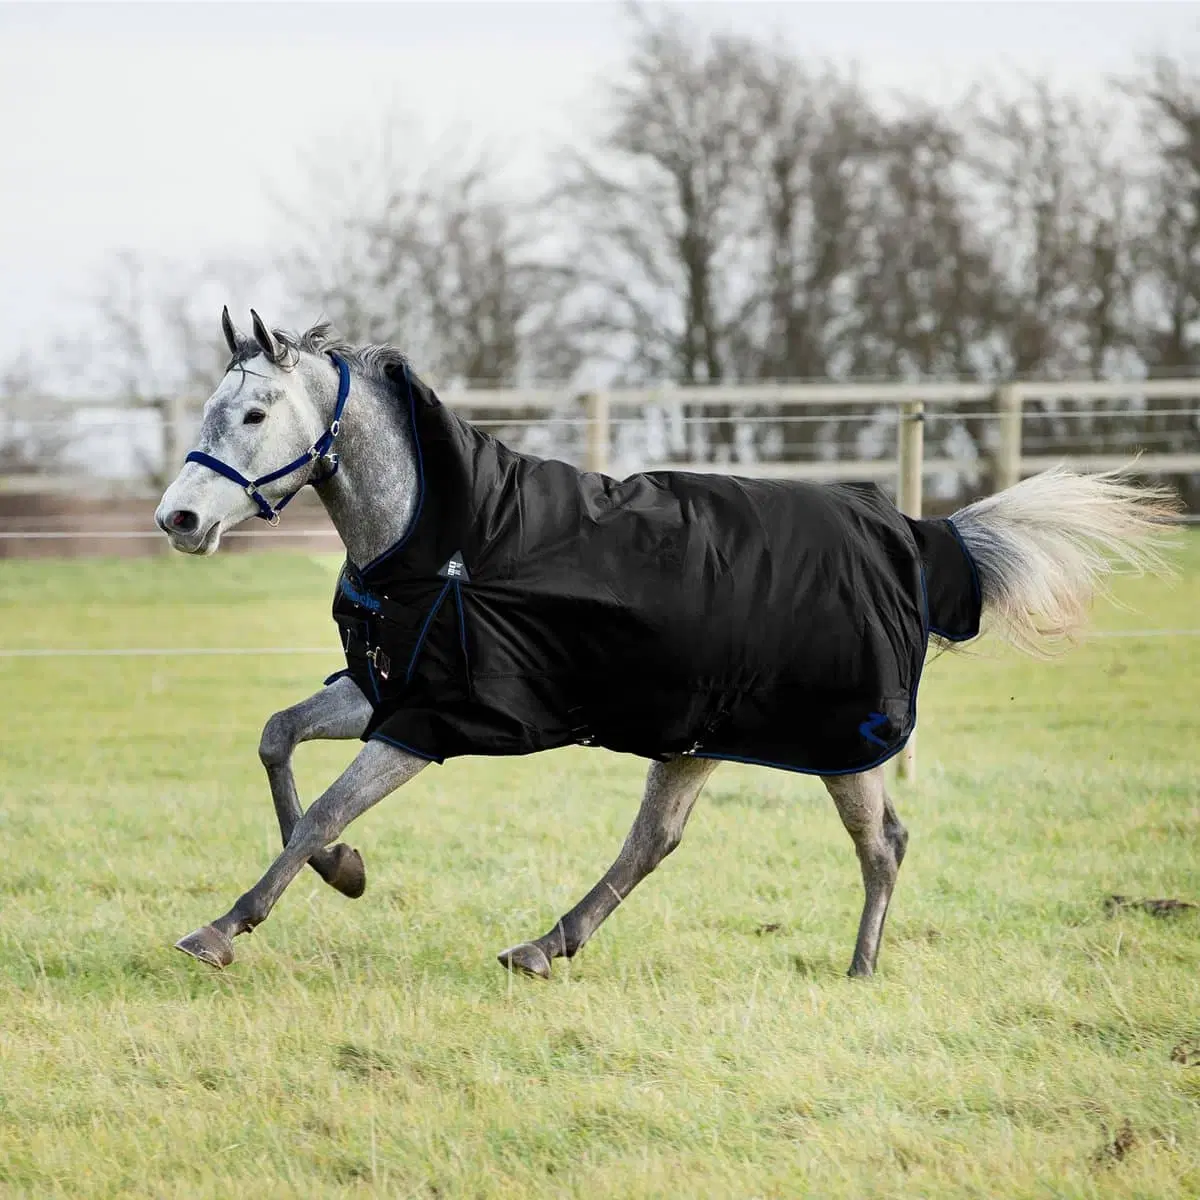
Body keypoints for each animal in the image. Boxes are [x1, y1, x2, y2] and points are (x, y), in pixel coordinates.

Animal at [154, 314, 1176, 979]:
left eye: (253, 415)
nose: (179, 520)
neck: (444, 539)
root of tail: (914, 535)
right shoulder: (386, 693)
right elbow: (278, 737)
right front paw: (346, 874)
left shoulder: (428, 722)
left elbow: (325, 808)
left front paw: (226, 926)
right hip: (699, 735)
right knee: (655, 841)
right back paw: (544, 946)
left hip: (840, 742)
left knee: (883, 841)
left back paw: (860, 967)